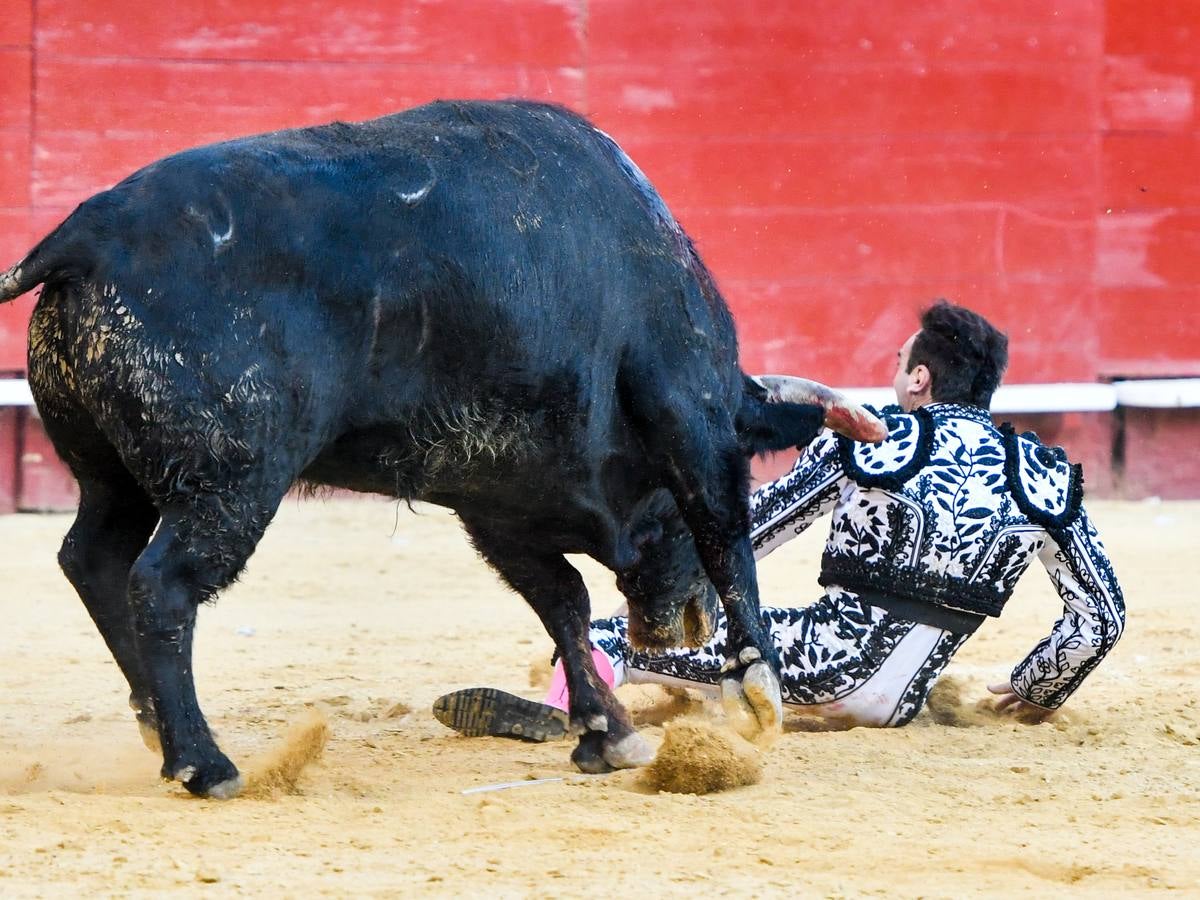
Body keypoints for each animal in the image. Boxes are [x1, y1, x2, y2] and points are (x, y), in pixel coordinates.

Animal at [4, 102, 878, 801]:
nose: (676, 628)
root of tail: (83, 238)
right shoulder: (689, 411)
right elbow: (724, 534)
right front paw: (757, 688)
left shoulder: (495, 500)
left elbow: (563, 601)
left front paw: (610, 734)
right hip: (230, 483)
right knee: (160, 585)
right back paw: (204, 762)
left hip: (115, 478)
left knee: (93, 559)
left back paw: (156, 726)